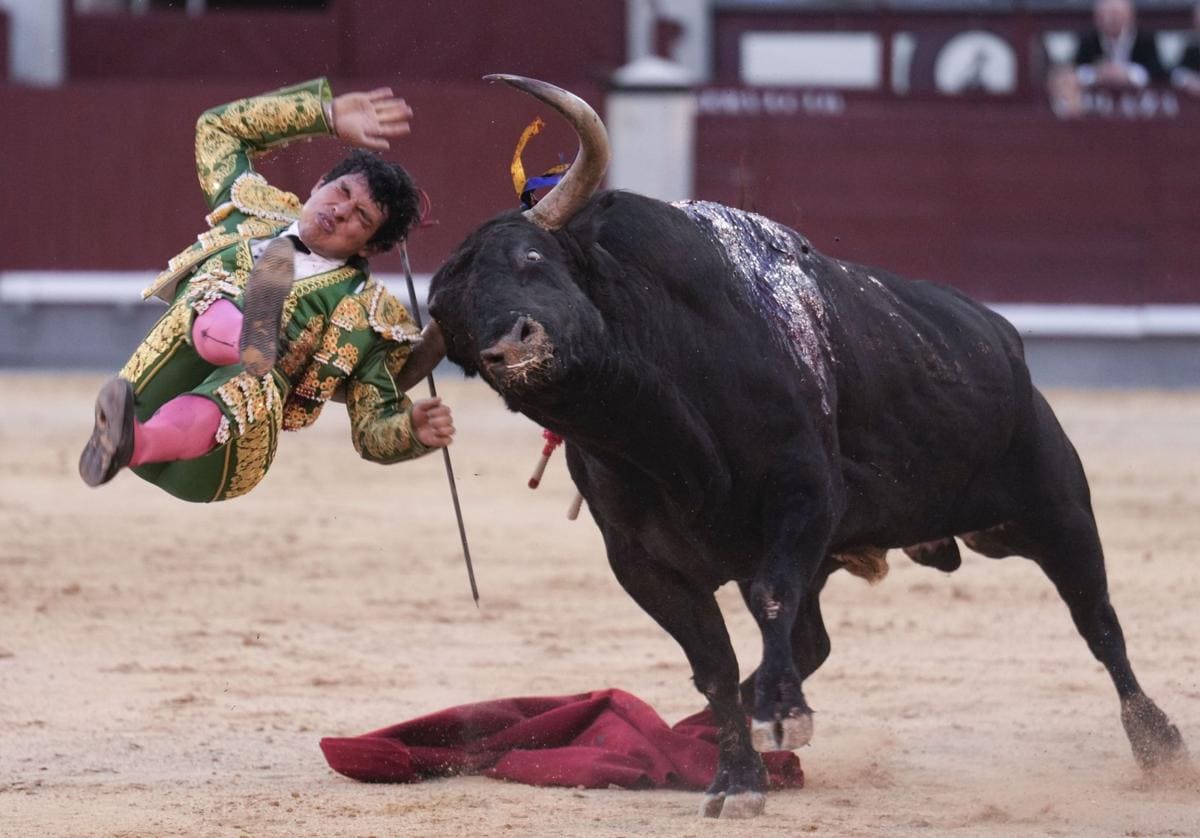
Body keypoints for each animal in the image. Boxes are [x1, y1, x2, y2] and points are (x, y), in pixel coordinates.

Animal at [427, 79, 1185, 816]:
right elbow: (714, 664)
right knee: (812, 637)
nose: (510, 346)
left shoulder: (805, 496)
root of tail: (1003, 336)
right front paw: (737, 775)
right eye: (454, 325)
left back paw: (1158, 743)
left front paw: (782, 716)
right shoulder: (642, 564)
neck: (662, 432)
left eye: (532, 260)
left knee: (1099, 620)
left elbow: (768, 599)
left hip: (1054, 507)